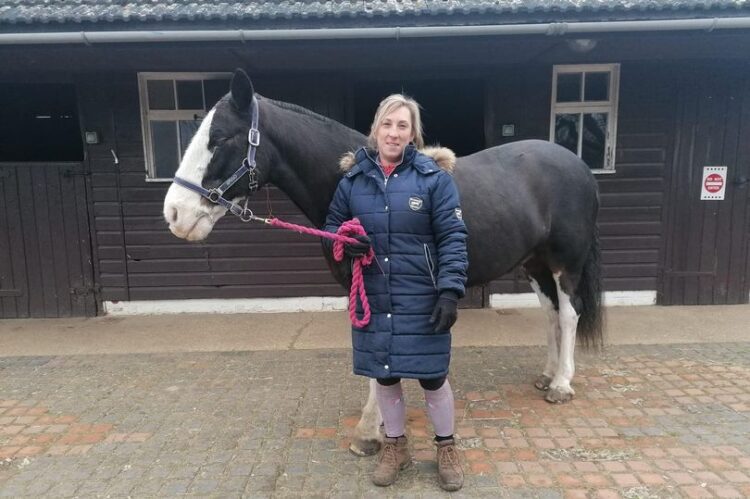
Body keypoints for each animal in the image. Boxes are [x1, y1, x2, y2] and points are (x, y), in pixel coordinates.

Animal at [164, 69, 604, 458]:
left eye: (219, 139)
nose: (174, 214)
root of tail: (578, 165)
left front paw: (370, 431)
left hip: (566, 262)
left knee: (569, 314)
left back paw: (562, 385)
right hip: (535, 264)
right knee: (550, 313)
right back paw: (547, 375)